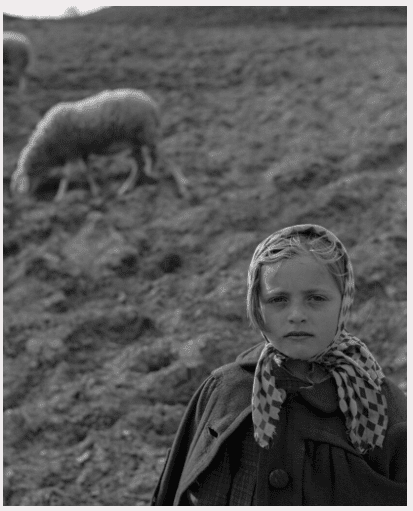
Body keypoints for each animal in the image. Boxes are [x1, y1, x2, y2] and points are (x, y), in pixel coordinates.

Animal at [10, 88, 188, 200]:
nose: (24, 199)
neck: (47, 146)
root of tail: (153, 104)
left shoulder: (70, 150)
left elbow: (67, 174)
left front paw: (60, 196)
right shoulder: (82, 151)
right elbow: (86, 170)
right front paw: (95, 190)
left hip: (147, 134)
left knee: (166, 157)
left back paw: (182, 184)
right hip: (136, 142)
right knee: (141, 164)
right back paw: (127, 188)